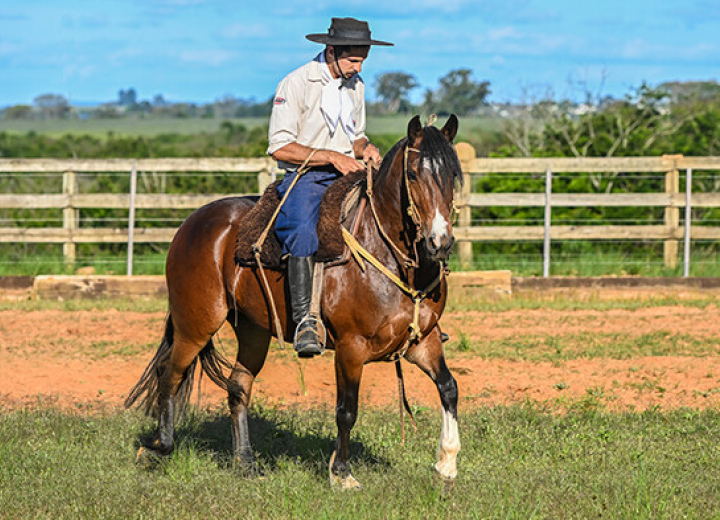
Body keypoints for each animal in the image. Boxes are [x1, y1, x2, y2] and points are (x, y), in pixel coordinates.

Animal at [125, 112, 462, 488]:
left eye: (452, 174)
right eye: (413, 174)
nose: (440, 242)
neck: (386, 251)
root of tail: (191, 224)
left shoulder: (423, 340)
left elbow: (449, 388)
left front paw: (447, 463)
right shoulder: (351, 347)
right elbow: (347, 410)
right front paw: (342, 474)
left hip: (253, 331)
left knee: (238, 387)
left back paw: (245, 462)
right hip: (195, 324)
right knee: (169, 373)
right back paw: (158, 446)